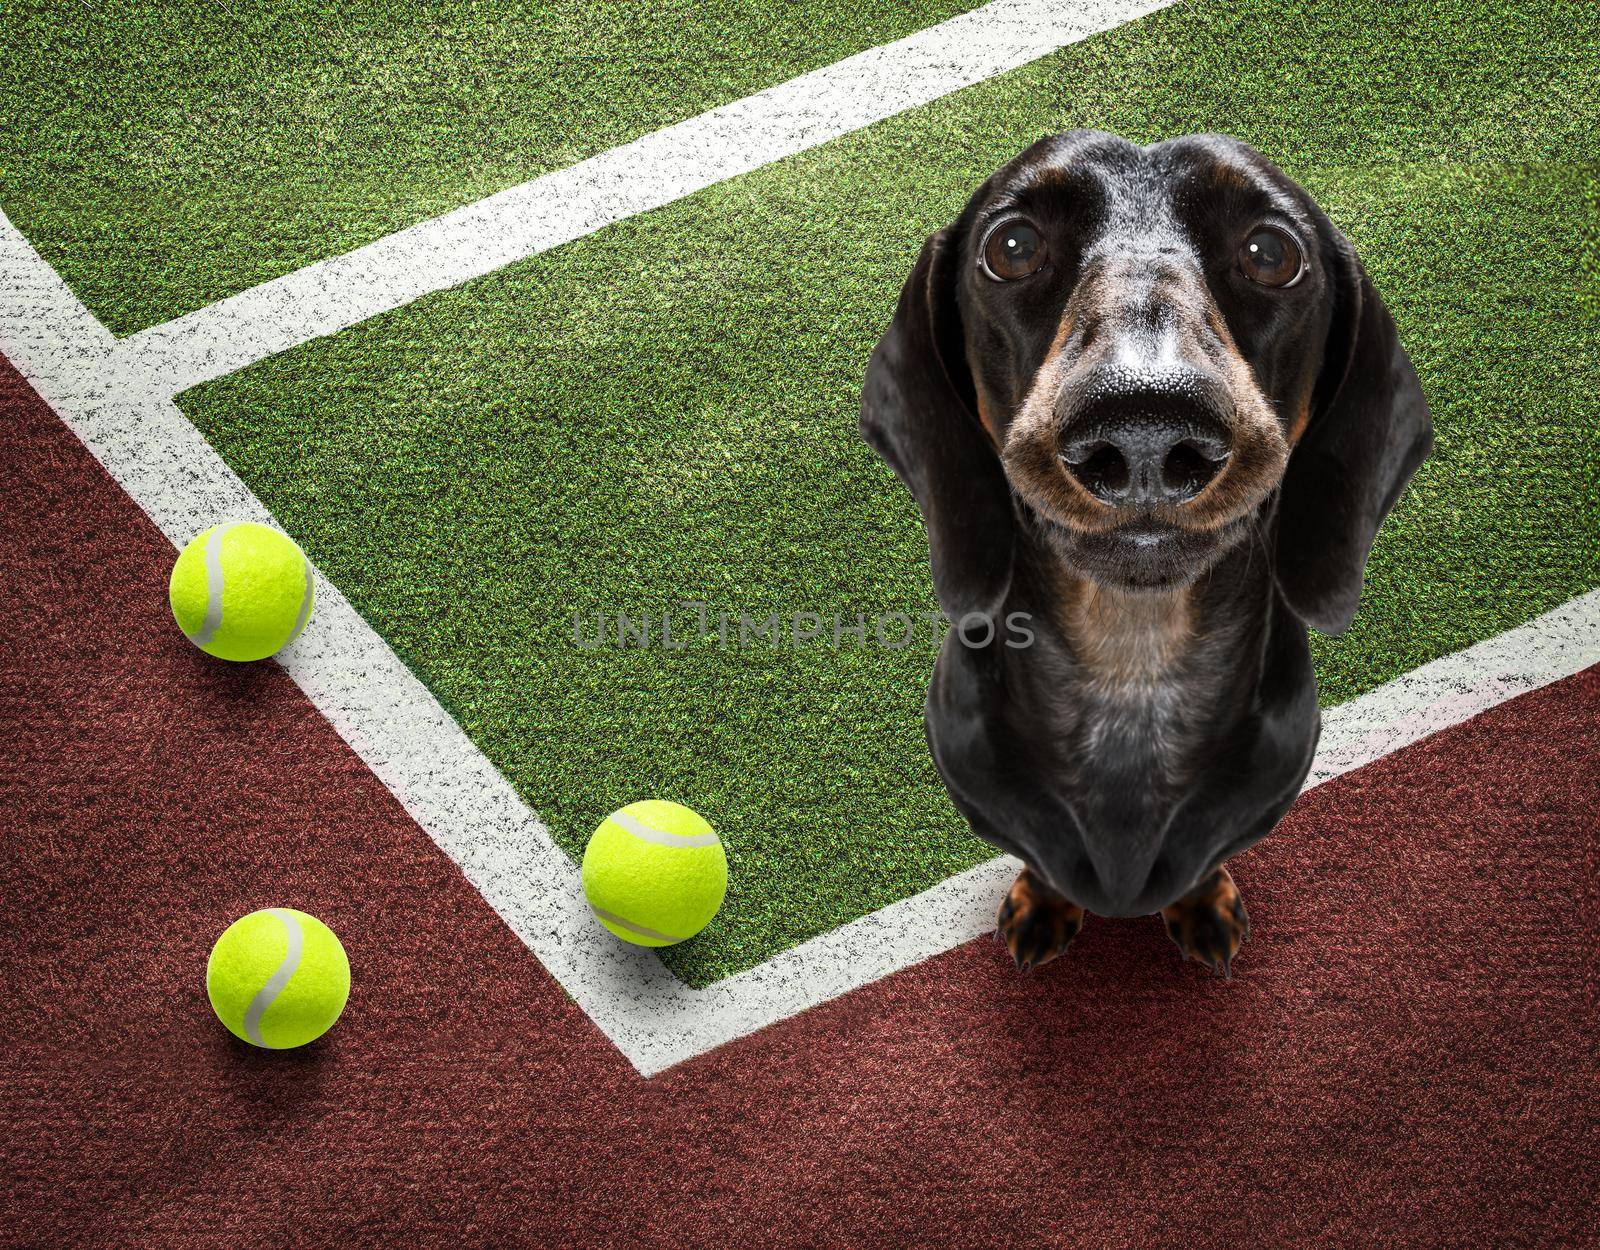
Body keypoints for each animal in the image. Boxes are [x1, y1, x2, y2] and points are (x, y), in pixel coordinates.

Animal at [857, 134, 1433, 973]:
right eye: (1012, 246)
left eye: (1270, 252)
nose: (1144, 430)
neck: (1133, 666)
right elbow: (1040, 863)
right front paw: (1041, 905)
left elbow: (1203, 867)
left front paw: (1204, 905)